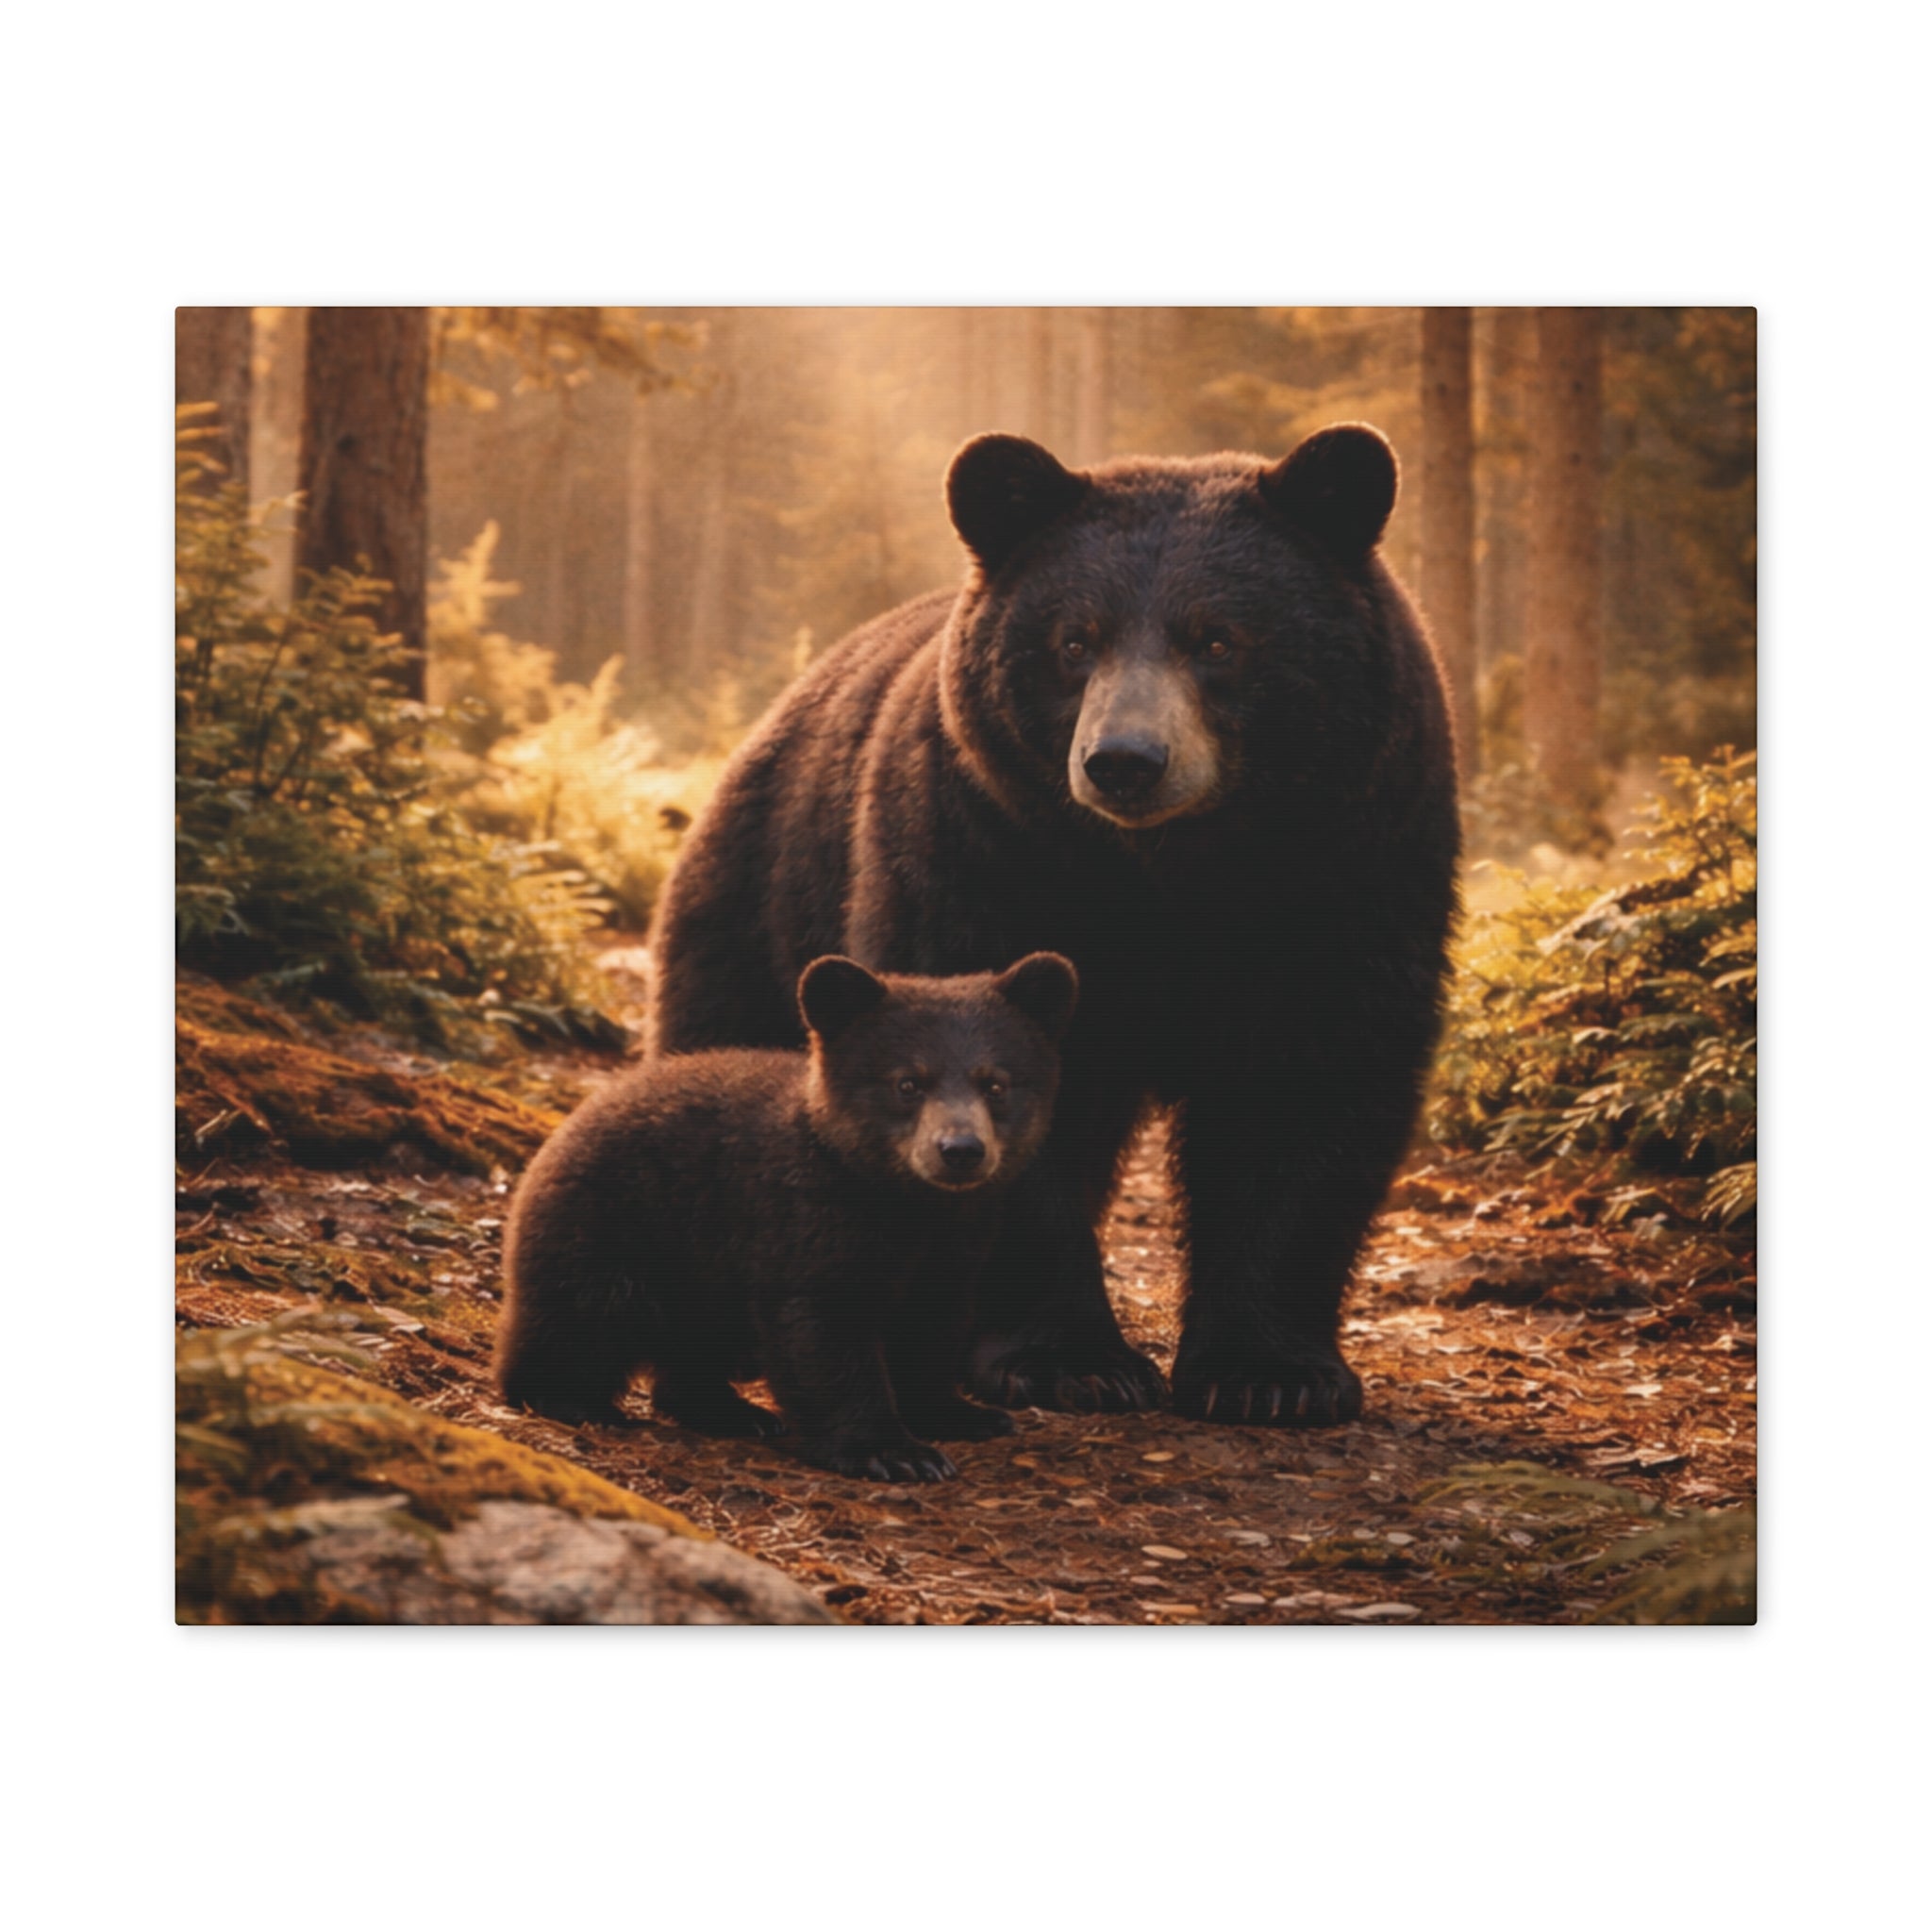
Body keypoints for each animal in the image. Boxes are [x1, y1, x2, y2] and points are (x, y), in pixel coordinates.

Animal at [494, 951, 1079, 1480]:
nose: (960, 1150)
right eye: (908, 1083)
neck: (904, 1204)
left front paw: (962, 1414)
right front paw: (892, 1451)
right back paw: (573, 1399)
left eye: (996, 1084)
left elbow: (933, 1324)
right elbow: (822, 1331)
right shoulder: (805, 1221)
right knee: (582, 1318)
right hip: (616, 1231)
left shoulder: (957, 1242)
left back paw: (733, 1411)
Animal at [648, 423, 1460, 1427]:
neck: (1174, 876)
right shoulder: (985, 854)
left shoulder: (1353, 869)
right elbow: (998, 1076)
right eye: (1076, 640)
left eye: (1218, 638)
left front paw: (1271, 1373)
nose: (1125, 761)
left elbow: (1307, 1085)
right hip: (765, 899)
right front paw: (1071, 1360)